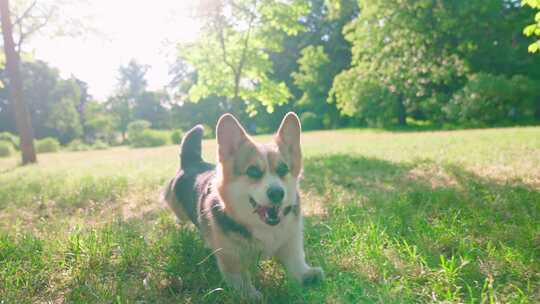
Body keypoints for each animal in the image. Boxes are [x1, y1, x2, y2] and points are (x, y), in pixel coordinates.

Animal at [160, 112, 320, 300]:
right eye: (252, 171)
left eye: (283, 170)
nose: (277, 193)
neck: (264, 227)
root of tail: (192, 162)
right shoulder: (231, 258)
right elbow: (240, 278)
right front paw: (250, 295)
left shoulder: (291, 239)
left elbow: (295, 259)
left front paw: (305, 275)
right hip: (177, 208)